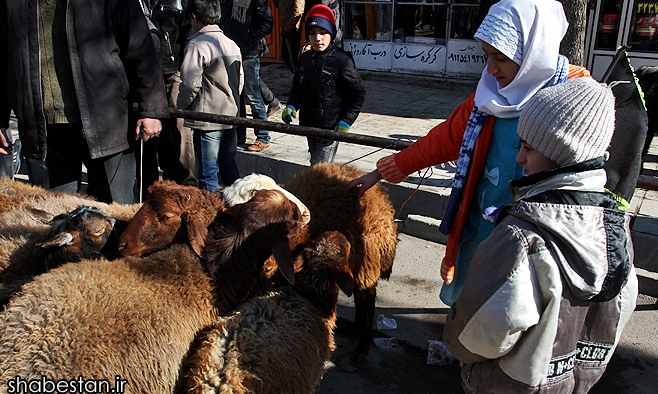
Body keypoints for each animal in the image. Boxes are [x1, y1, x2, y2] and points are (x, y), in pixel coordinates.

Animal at [280, 162, 394, 358]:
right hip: (357, 260)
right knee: (358, 292)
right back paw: (355, 328)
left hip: (365, 257)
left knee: (368, 298)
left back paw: (362, 348)